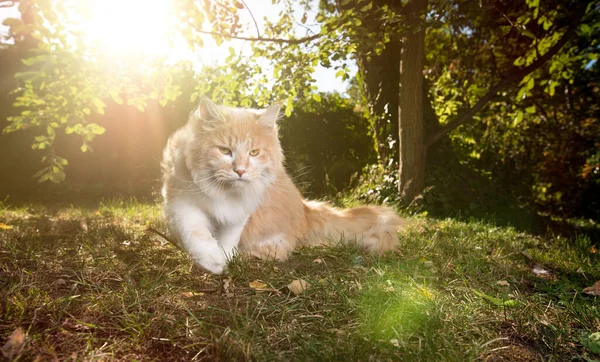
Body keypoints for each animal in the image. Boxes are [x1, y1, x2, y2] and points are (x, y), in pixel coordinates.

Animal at [161, 97, 404, 272]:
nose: (240, 171)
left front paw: (224, 258)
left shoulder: (240, 213)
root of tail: (306, 208)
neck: (224, 193)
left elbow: (228, 239)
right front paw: (212, 260)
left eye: (254, 152)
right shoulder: (182, 202)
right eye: (224, 151)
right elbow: (196, 232)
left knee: (280, 249)